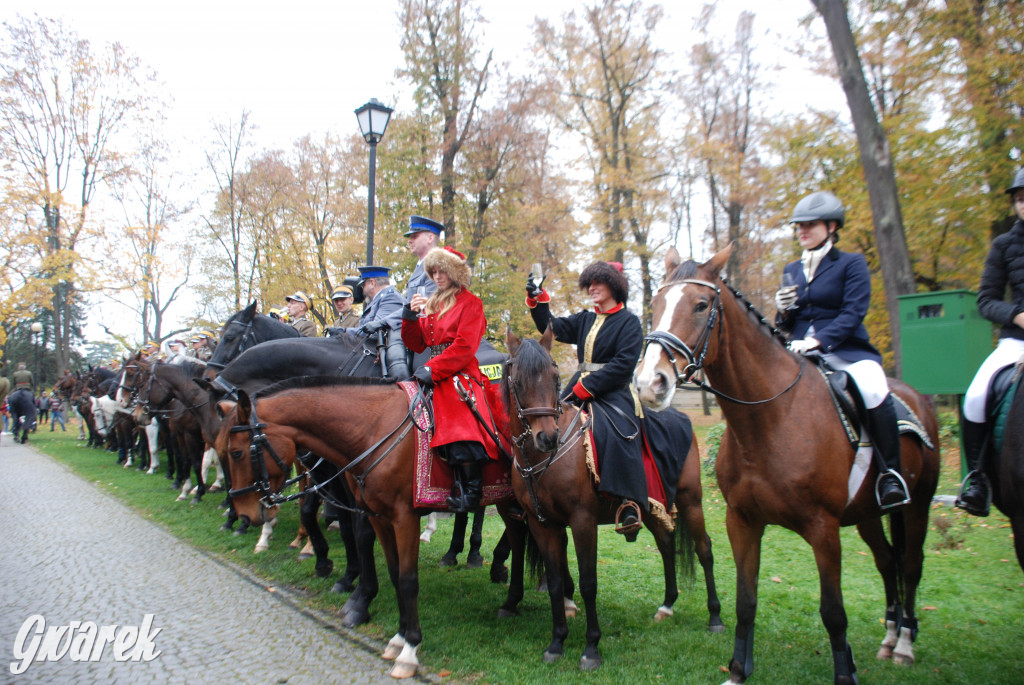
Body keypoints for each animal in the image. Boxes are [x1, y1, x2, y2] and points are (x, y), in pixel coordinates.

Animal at [217, 374, 532, 679]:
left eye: (236, 453)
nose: (244, 514)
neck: (375, 428)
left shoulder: (405, 518)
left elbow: (408, 580)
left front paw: (410, 650)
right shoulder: (380, 518)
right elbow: (394, 575)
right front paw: (398, 638)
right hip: (508, 501)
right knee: (518, 539)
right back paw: (511, 601)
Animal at [503, 327, 720, 671]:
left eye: (554, 377)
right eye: (518, 381)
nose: (547, 438)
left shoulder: (583, 522)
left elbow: (589, 583)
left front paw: (591, 647)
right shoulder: (542, 525)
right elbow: (554, 582)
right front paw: (557, 641)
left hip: (691, 501)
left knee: (704, 549)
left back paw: (715, 616)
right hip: (652, 507)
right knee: (666, 545)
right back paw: (667, 604)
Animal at [630, 246, 942, 683]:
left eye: (701, 305)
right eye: (655, 306)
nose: (649, 384)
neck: (770, 419)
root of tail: (914, 396)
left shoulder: (823, 529)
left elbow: (834, 613)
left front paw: (844, 674)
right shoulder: (743, 522)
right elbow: (746, 601)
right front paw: (738, 670)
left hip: (918, 507)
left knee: (910, 566)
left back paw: (904, 645)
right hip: (867, 515)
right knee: (886, 562)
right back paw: (890, 635)